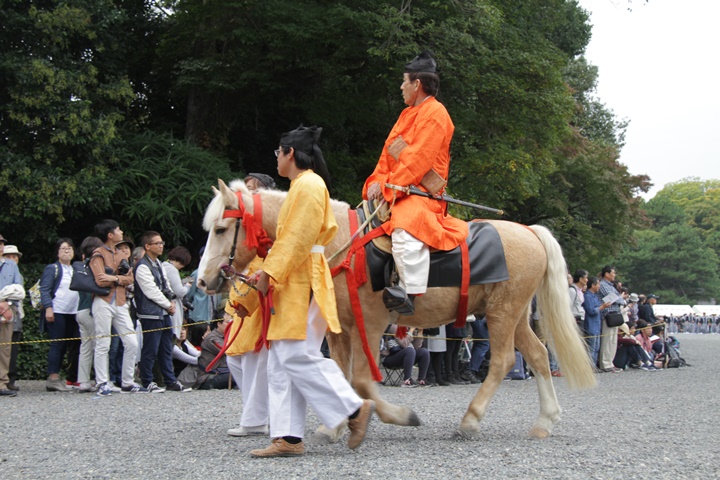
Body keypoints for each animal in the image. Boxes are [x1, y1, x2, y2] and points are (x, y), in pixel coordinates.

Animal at [198, 179, 596, 440]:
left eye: (220, 229)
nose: (202, 281)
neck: (340, 245)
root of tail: (530, 232)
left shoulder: (371, 324)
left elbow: (361, 379)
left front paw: (398, 416)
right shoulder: (341, 328)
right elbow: (341, 373)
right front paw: (336, 423)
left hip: (503, 312)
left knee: (502, 361)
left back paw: (470, 419)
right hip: (512, 315)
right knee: (538, 354)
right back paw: (545, 421)